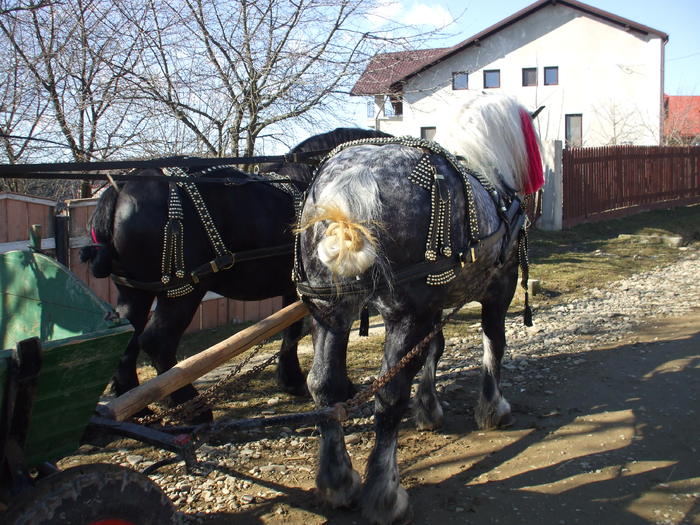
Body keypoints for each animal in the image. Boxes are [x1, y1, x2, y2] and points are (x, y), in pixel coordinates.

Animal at [83, 129, 388, 420]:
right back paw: (191, 407)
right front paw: (339, 387)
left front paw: (293, 381)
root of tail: (120, 188)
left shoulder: (295, 286)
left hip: (134, 290)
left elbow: (292, 331)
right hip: (183, 290)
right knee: (157, 341)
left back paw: (139, 407)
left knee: (128, 337)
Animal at [292, 92, 544, 520]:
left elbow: (433, 349)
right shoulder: (499, 287)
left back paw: (338, 481)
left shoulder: (434, 304)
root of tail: (354, 180)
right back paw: (385, 496)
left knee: (325, 386)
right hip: (402, 315)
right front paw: (492, 408)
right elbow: (494, 342)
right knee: (389, 396)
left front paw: (429, 410)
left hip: (330, 312)